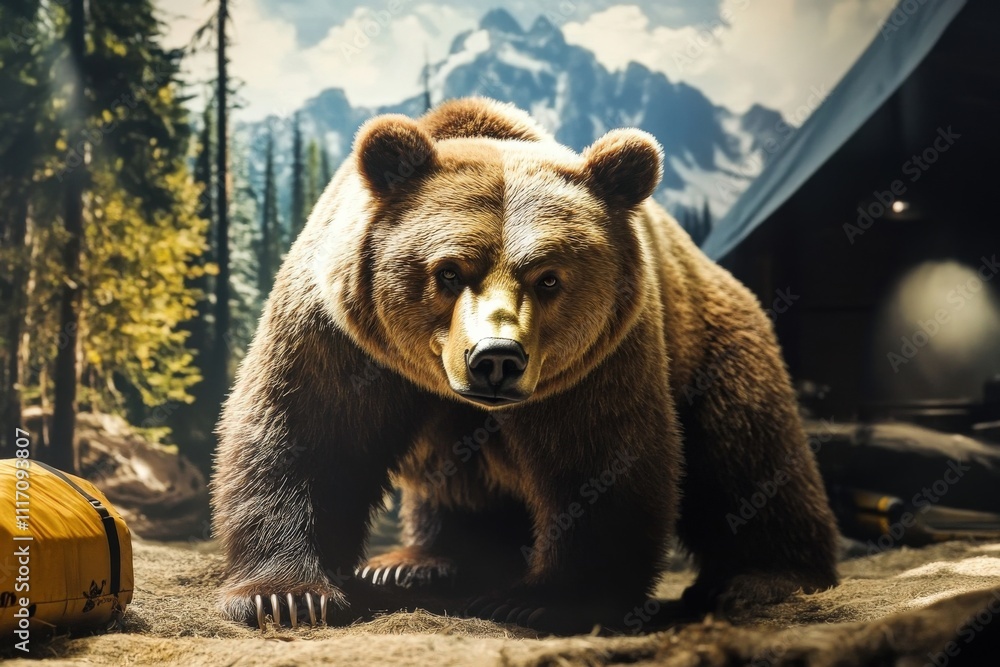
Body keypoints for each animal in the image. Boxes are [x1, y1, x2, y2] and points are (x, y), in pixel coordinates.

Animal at [211, 97, 839, 632]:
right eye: (448, 271)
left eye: (549, 277)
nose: (496, 357)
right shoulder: (340, 334)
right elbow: (305, 434)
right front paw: (285, 596)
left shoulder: (596, 363)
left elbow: (600, 459)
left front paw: (546, 600)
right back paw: (416, 561)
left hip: (712, 343)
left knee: (745, 452)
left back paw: (764, 577)